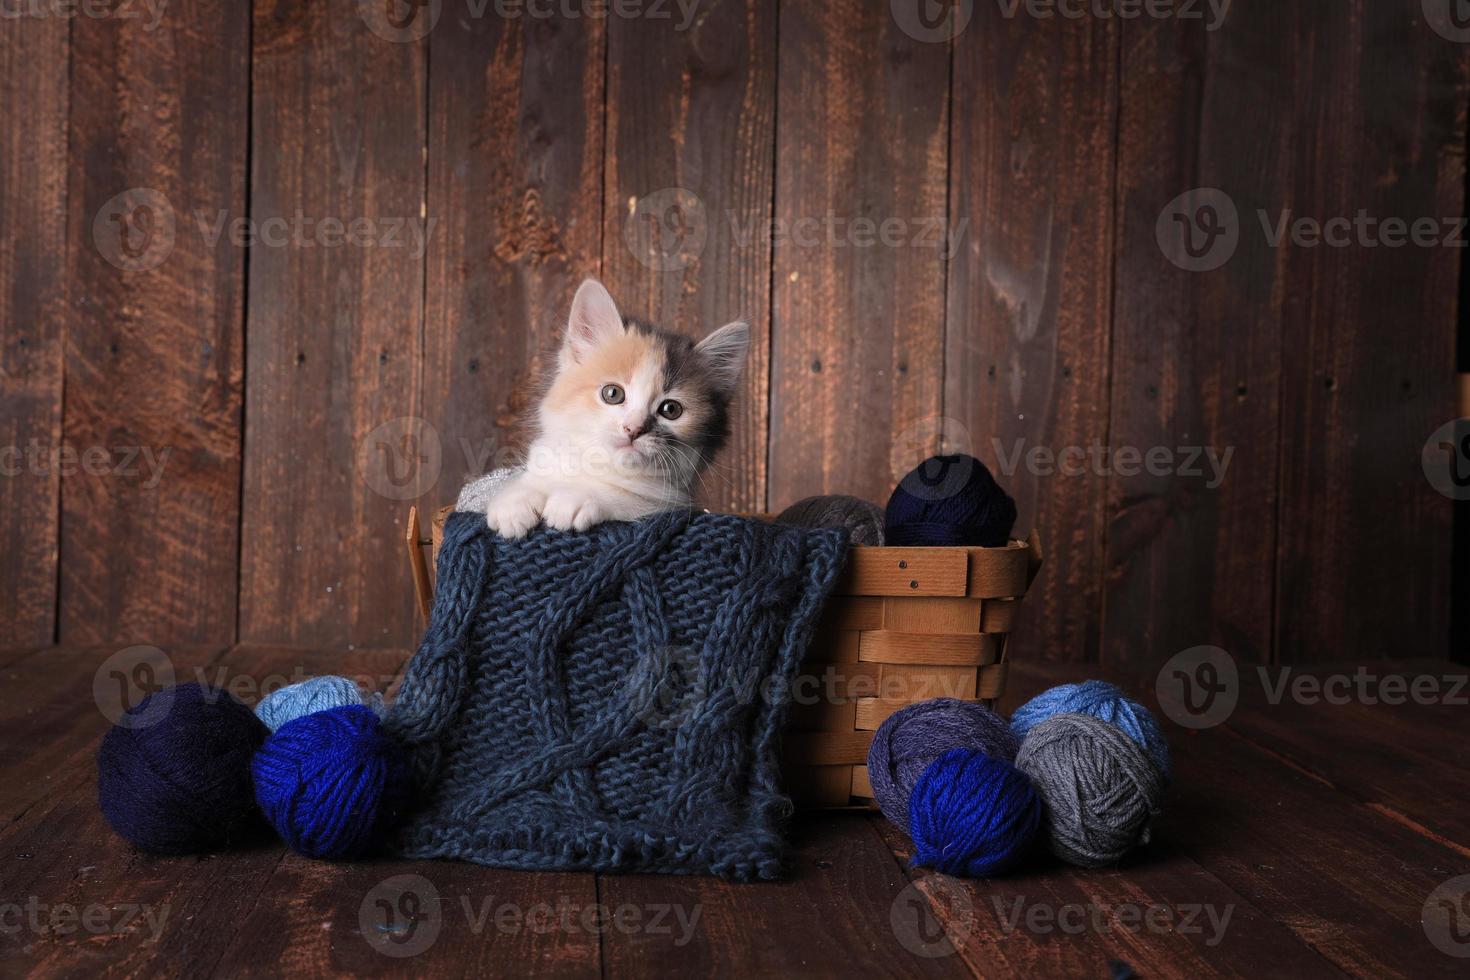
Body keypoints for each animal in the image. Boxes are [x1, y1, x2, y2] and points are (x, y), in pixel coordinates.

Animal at [488, 277, 752, 537]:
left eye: (671, 410)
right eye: (612, 394)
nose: (633, 429)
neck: (602, 467)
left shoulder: (667, 503)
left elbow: (626, 497)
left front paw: (576, 498)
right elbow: (531, 480)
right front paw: (513, 502)